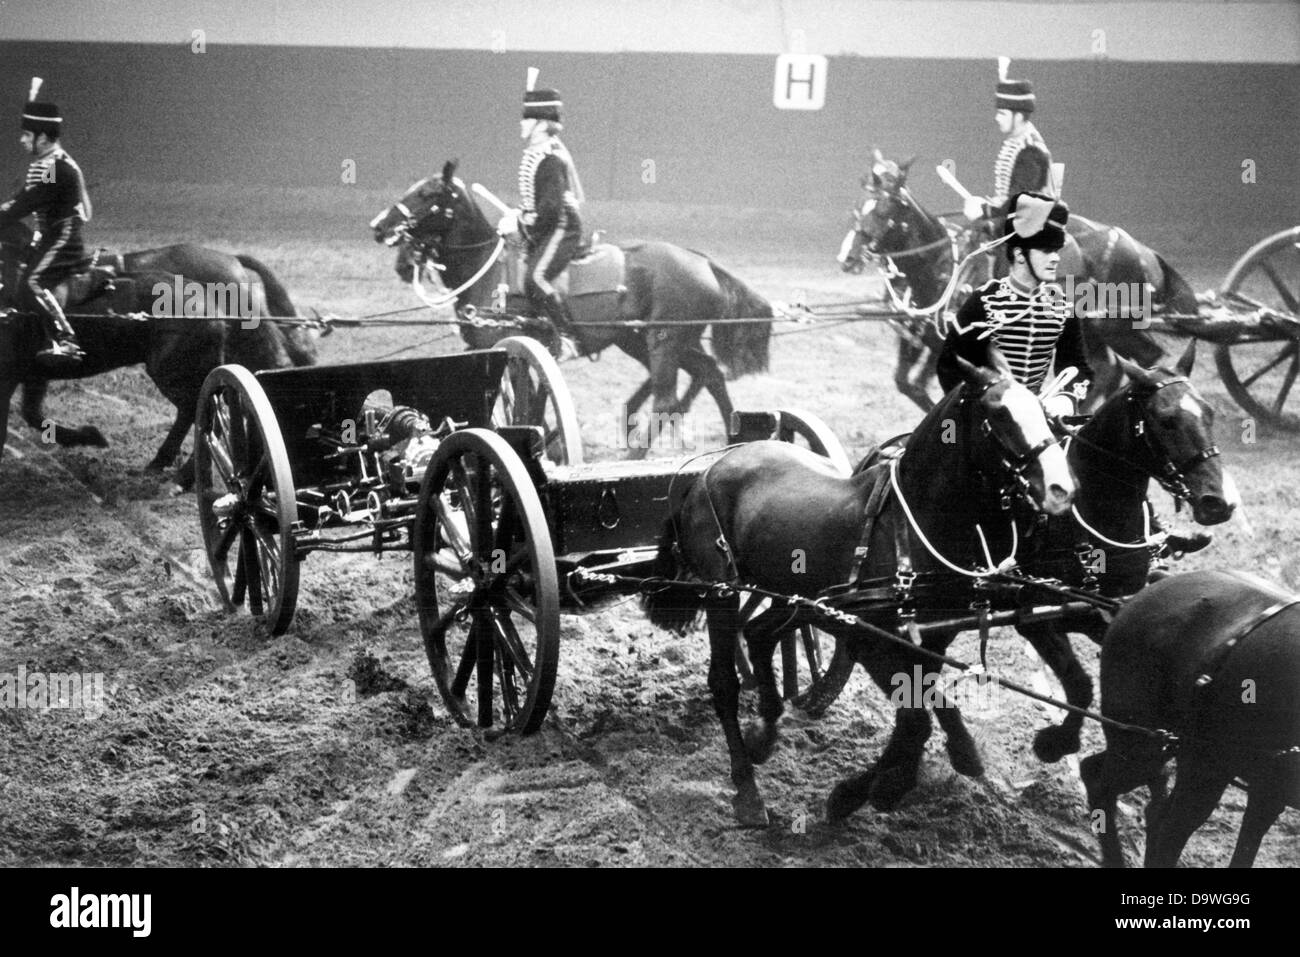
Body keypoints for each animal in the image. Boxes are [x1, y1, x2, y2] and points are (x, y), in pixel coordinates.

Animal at [1, 218, 317, 486]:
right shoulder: (33, 373)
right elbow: (32, 413)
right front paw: (88, 435)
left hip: (176, 371)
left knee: (203, 412)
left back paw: (183, 474)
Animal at [366, 158, 769, 457]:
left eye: (427, 194)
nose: (378, 226)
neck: (487, 269)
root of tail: (703, 261)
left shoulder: (510, 345)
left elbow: (525, 404)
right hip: (653, 340)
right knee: (709, 373)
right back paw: (734, 440)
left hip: (664, 340)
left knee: (667, 398)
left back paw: (635, 454)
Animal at [642, 351, 1076, 821]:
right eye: (998, 413)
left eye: (1044, 410)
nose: (1061, 489)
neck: (909, 527)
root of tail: (710, 470)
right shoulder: (868, 641)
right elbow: (916, 719)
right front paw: (873, 791)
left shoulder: (930, 640)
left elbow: (922, 712)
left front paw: (910, 773)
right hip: (721, 591)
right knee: (724, 682)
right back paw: (747, 789)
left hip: (794, 597)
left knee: (758, 634)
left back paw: (766, 729)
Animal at [842, 151, 1196, 413]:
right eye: (860, 206)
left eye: (885, 208)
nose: (848, 257)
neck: (938, 264)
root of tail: (1147, 253)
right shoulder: (917, 336)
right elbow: (908, 384)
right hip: (1095, 330)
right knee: (1109, 369)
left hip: (1115, 325)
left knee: (1146, 360)